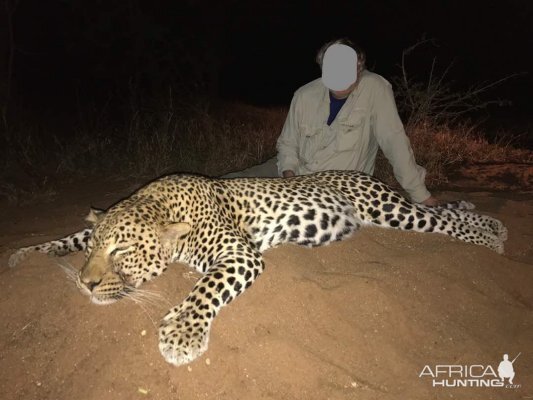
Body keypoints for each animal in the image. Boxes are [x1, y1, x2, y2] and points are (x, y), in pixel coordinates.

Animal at [8, 169, 508, 366]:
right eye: (98, 249)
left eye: (123, 252)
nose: (85, 285)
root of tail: (364, 174)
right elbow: (70, 236)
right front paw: (25, 255)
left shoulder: (240, 254)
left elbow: (206, 288)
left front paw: (182, 334)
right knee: (443, 214)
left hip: (386, 209)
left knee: (442, 219)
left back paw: (494, 233)